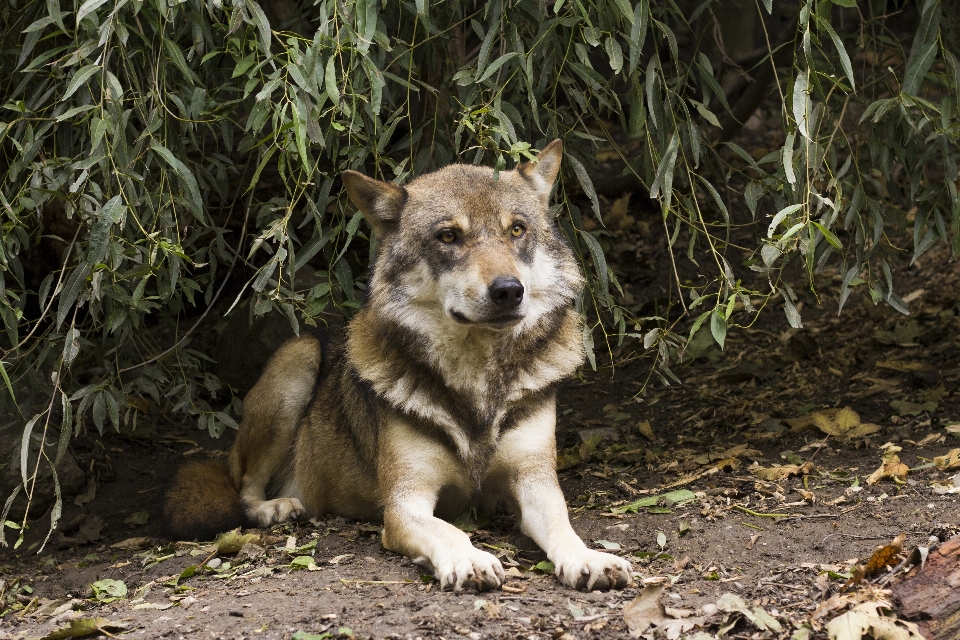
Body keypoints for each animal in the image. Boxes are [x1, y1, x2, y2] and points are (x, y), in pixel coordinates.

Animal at [165, 140, 632, 592]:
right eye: (449, 236)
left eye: (516, 230)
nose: (508, 291)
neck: (476, 380)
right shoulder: (405, 503)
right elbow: (450, 530)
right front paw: (469, 560)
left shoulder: (535, 483)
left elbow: (563, 527)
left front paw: (589, 559)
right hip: (299, 358)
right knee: (243, 489)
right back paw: (274, 508)